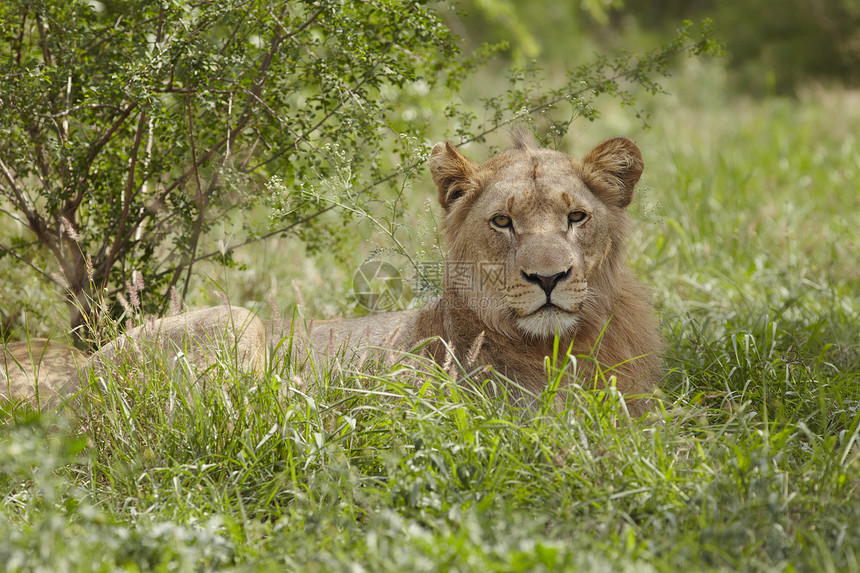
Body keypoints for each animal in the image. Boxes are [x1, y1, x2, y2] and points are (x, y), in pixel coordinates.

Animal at [0, 136, 660, 416]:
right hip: (237, 322)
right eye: (503, 221)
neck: (561, 346)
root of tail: (67, 380)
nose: (549, 278)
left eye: (576, 217)